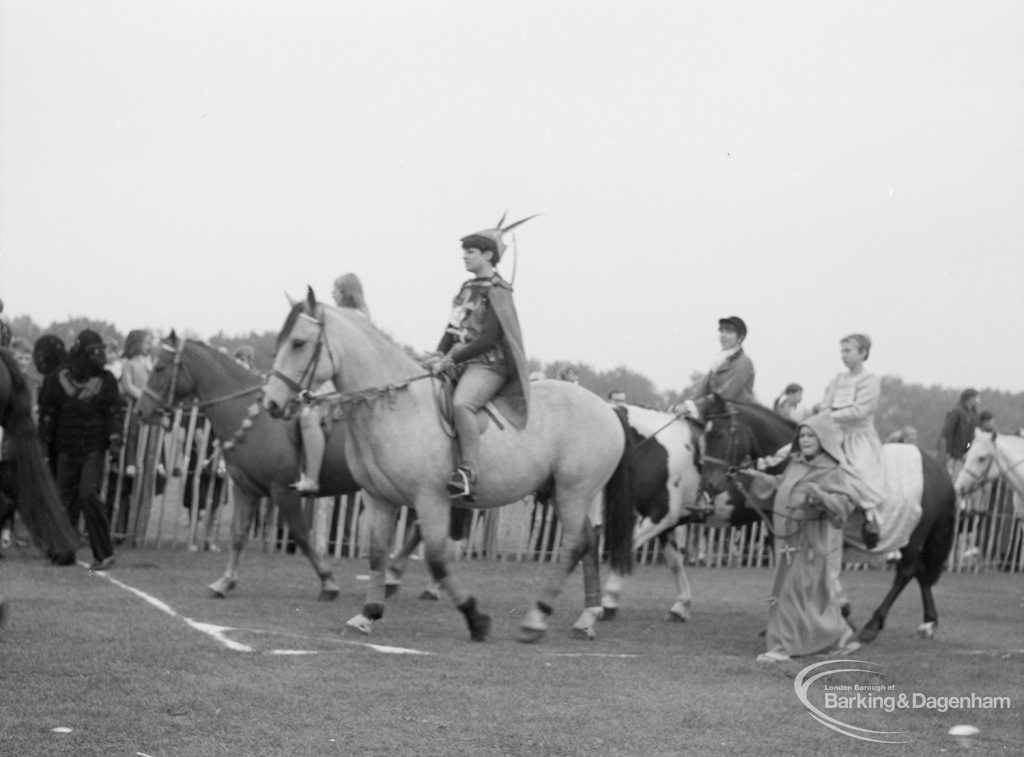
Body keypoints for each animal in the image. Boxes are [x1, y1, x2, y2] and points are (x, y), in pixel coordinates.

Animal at [135, 333, 360, 602]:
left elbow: (301, 534)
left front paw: (328, 582)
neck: (251, 414)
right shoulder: (245, 489)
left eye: (159, 367)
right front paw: (225, 582)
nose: (141, 410)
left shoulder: (282, 491)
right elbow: (238, 534)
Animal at [264, 292, 630, 643]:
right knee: (587, 543)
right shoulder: (378, 498)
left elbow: (438, 559)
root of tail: (609, 410)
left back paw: (536, 620)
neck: (397, 409)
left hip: (573, 492)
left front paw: (476, 619)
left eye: (298, 343)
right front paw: (367, 614)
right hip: (559, 493)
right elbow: (378, 554)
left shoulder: (430, 499)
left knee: (575, 545)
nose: (272, 403)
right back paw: (586, 619)